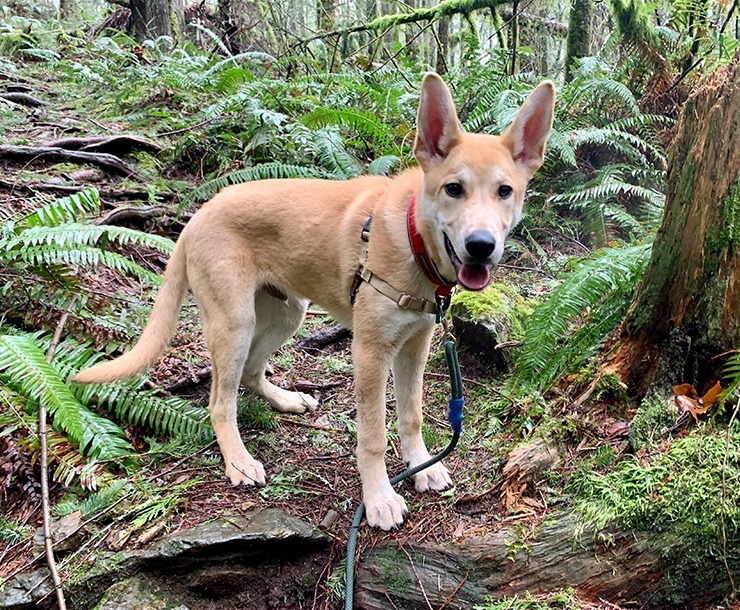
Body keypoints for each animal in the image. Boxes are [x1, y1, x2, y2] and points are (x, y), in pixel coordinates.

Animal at [75, 72, 552, 528]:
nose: (481, 246)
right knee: (220, 402)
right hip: (234, 323)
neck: (412, 237)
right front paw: (379, 498)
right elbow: (373, 436)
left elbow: (412, 415)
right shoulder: (370, 352)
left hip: (287, 313)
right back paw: (239, 461)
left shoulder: (414, 346)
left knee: (251, 373)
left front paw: (421, 465)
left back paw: (287, 401)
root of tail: (199, 214)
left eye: (504, 192)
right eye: (454, 189)